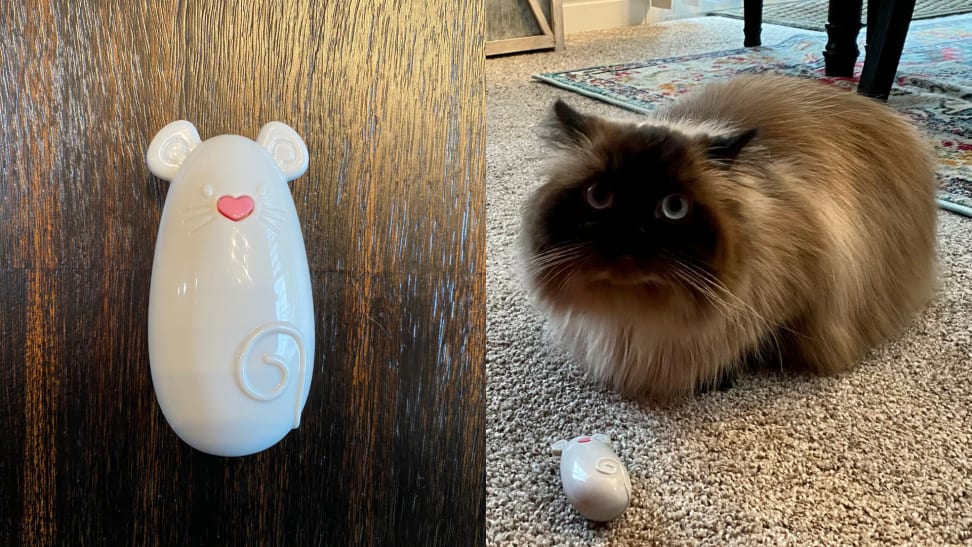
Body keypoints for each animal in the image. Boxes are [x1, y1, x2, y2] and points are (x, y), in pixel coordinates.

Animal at [520, 75, 936, 400]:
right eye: (599, 197)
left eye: (674, 207)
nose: (628, 232)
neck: (639, 314)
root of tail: (878, 108)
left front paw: (721, 377)